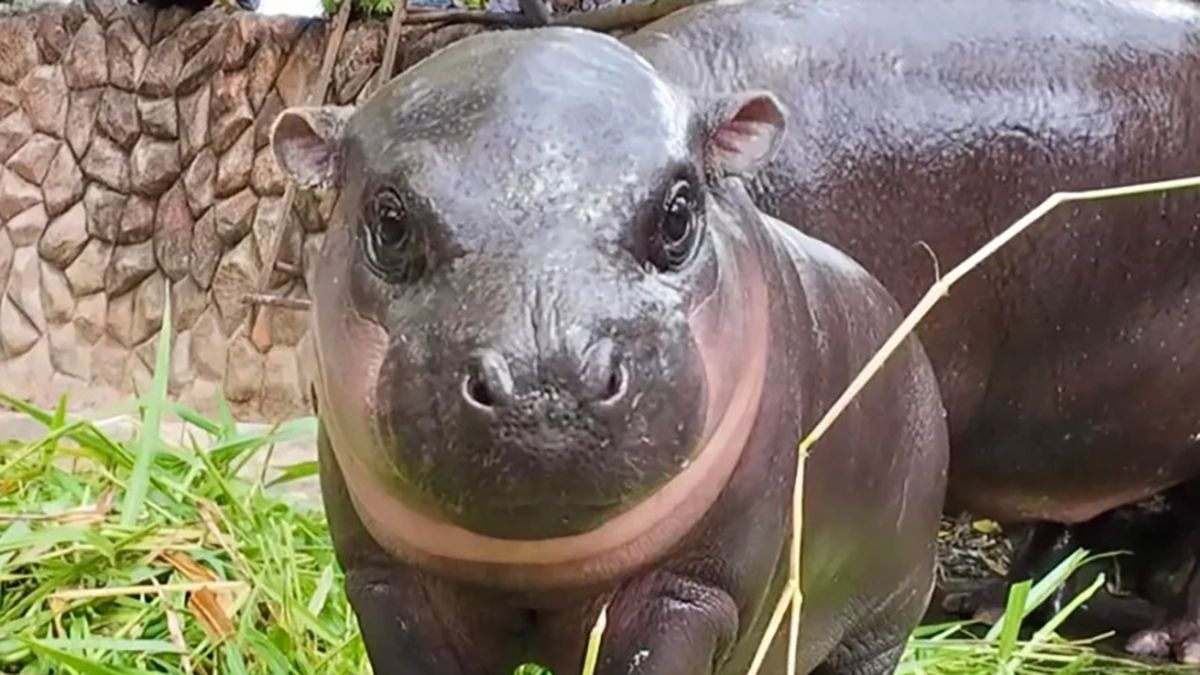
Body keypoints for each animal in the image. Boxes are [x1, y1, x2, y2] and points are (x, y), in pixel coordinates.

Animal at [270, 18, 945, 672]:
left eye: (678, 213)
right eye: (389, 222)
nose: (543, 384)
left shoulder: (690, 592)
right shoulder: (385, 581)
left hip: (883, 619)